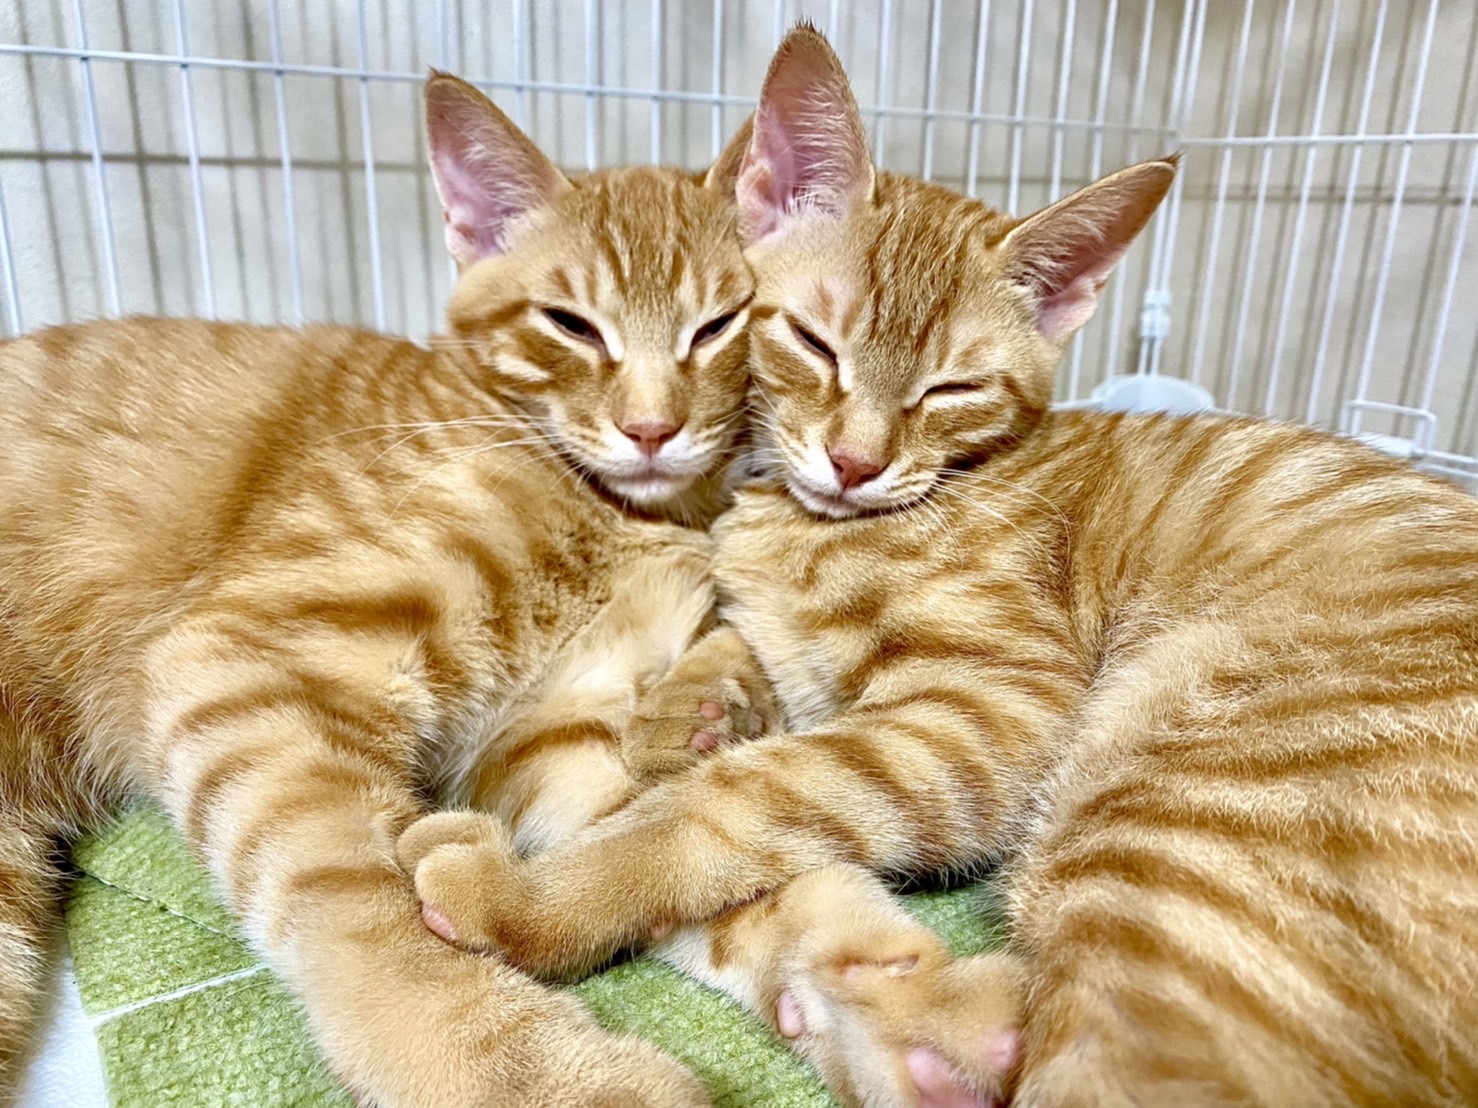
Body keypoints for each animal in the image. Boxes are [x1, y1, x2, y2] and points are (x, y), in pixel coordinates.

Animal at [0, 71, 757, 1106]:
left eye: (719, 326)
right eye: (569, 325)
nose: (651, 428)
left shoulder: (557, 738)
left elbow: (685, 851)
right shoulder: (246, 662)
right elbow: (362, 910)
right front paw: (517, 1067)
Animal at [406, 26, 1478, 1108]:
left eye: (951, 388)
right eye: (812, 343)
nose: (854, 461)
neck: (809, 523)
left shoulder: (983, 708)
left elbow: (732, 800)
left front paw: (534, 897)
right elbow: (743, 653)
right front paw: (689, 707)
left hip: (1162, 828)